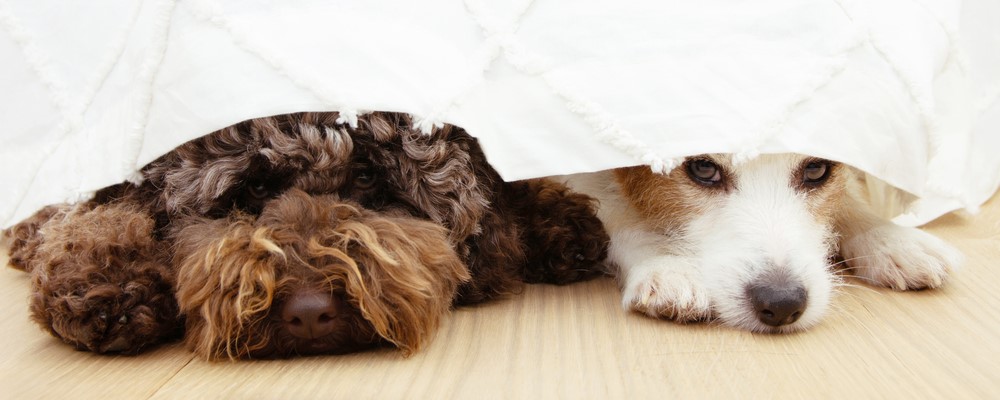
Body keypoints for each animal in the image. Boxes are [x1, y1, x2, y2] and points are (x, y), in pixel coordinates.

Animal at [5, 111, 608, 360]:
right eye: (251, 190)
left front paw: (558, 223)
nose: (310, 313)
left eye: (365, 177)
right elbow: (106, 217)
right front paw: (104, 281)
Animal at [564, 153, 960, 332]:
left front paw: (889, 237)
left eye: (816, 169)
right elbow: (617, 212)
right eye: (703, 168)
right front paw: (667, 264)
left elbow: (849, 194)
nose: (782, 303)